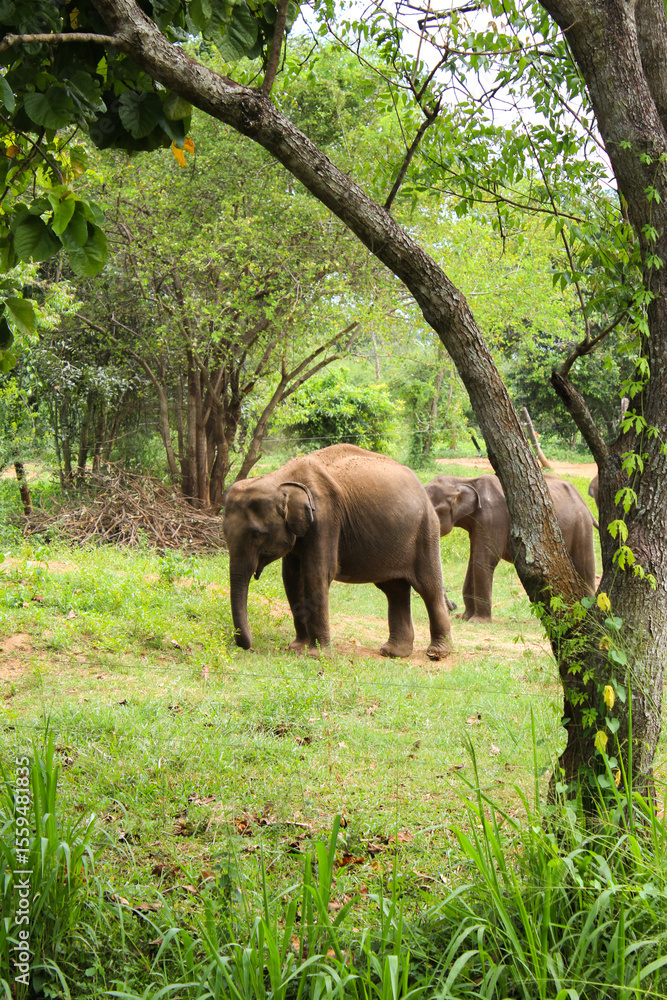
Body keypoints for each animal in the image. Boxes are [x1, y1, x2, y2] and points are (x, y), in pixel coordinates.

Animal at [223, 444, 452, 659]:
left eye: (257, 535)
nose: (248, 645)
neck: (281, 478)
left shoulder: (326, 516)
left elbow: (317, 574)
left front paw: (317, 655)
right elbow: (291, 578)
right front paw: (297, 648)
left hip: (426, 531)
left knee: (428, 587)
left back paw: (437, 653)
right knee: (395, 590)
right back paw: (393, 652)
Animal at [425, 473, 596, 622]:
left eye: (435, 511)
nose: (453, 607)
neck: (464, 481)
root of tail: (584, 503)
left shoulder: (493, 518)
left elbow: (484, 560)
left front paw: (477, 621)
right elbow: (473, 561)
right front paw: (465, 618)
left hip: (582, 527)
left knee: (584, 567)